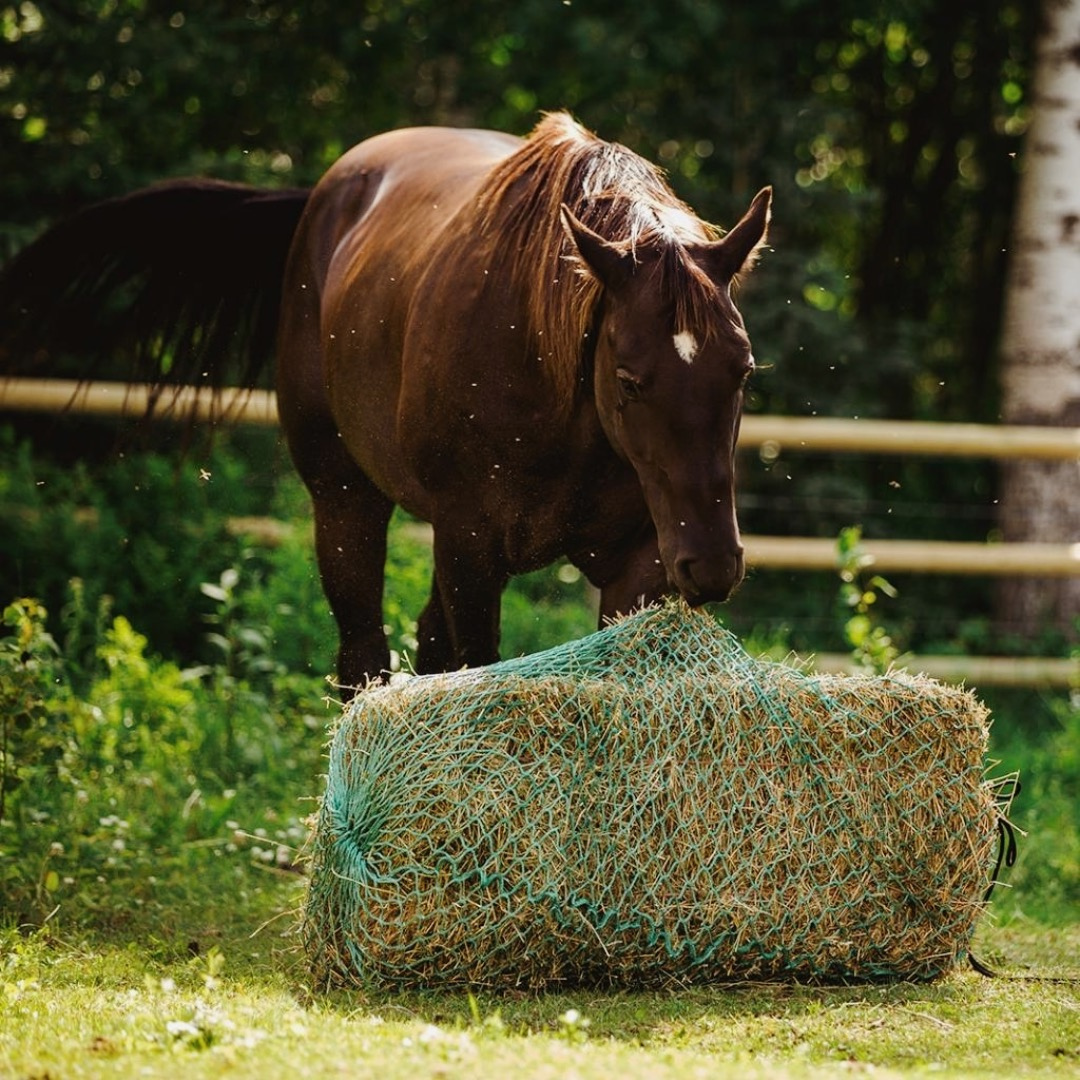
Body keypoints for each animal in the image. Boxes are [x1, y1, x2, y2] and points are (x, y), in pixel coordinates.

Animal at [0, 113, 768, 686]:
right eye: (632, 379)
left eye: (742, 370)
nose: (712, 564)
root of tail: (320, 198)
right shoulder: (469, 547)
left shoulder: (637, 566)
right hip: (346, 503)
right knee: (363, 660)